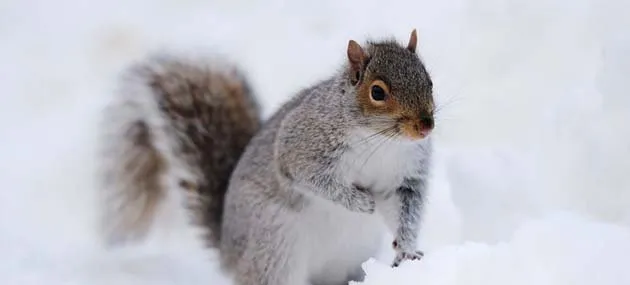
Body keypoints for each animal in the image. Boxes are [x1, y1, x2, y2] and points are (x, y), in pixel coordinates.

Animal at [99, 28, 436, 284]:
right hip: (274, 249)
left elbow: (404, 211)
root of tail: (229, 255)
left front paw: (407, 251)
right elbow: (311, 177)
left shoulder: (404, 177)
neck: (383, 142)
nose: (426, 126)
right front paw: (359, 202)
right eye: (377, 92)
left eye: (429, 81)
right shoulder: (301, 145)